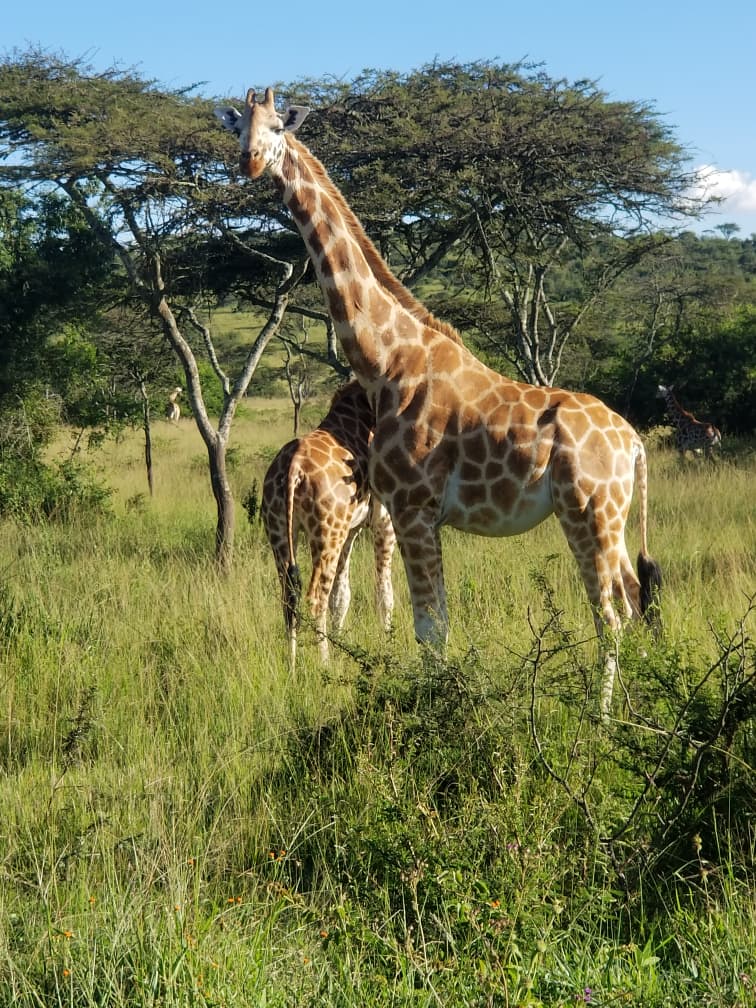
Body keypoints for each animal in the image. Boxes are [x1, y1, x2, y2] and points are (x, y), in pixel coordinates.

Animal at [262, 379, 396, 666]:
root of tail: (293, 469)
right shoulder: (384, 523)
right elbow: (384, 594)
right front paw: (389, 647)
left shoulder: (350, 530)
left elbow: (341, 595)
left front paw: (345, 648)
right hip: (325, 533)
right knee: (314, 598)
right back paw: (325, 665)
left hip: (280, 530)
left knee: (289, 596)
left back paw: (292, 665)